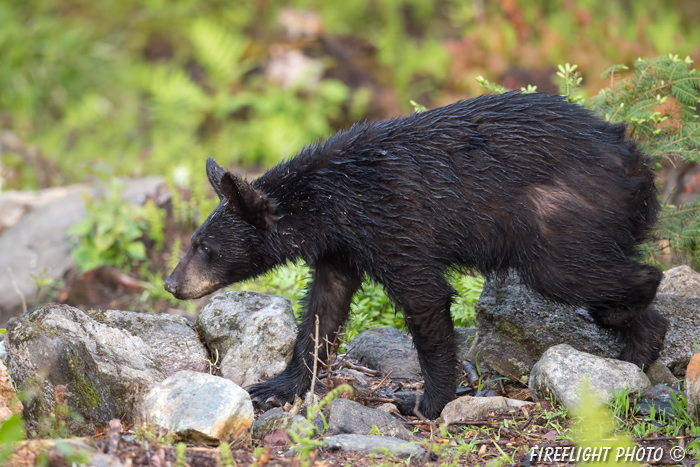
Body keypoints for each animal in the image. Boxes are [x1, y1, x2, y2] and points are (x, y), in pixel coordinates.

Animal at [164, 92, 668, 420]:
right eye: (193, 242)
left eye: (205, 248)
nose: (172, 284)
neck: (332, 201)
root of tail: (640, 163)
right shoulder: (342, 247)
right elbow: (324, 309)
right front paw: (277, 387)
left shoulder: (393, 223)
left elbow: (425, 300)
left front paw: (426, 403)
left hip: (559, 218)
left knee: (599, 274)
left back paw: (635, 329)